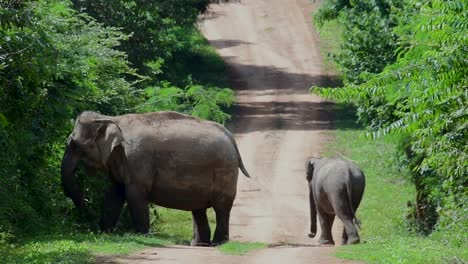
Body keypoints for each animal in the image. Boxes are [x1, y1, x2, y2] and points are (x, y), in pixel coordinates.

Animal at [63, 110, 252, 246]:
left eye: (76, 145)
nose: (90, 221)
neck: (110, 118)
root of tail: (230, 136)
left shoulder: (137, 159)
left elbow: (134, 194)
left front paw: (142, 235)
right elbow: (115, 193)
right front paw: (104, 232)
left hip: (225, 170)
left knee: (221, 206)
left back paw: (219, 243)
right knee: (198, 208)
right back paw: (199, 244)